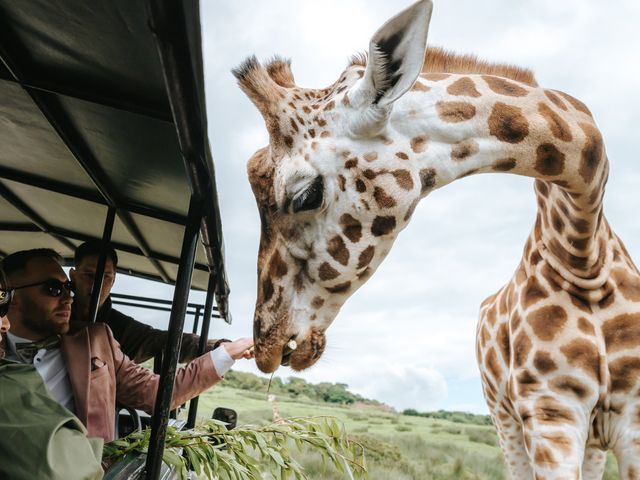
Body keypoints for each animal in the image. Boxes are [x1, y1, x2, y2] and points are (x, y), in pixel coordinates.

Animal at [234, 1, 640, 478]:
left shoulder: (627, 416)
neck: (582, 251)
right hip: (508, 420)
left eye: (304, 195)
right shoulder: (550, 407)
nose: (267, 344)